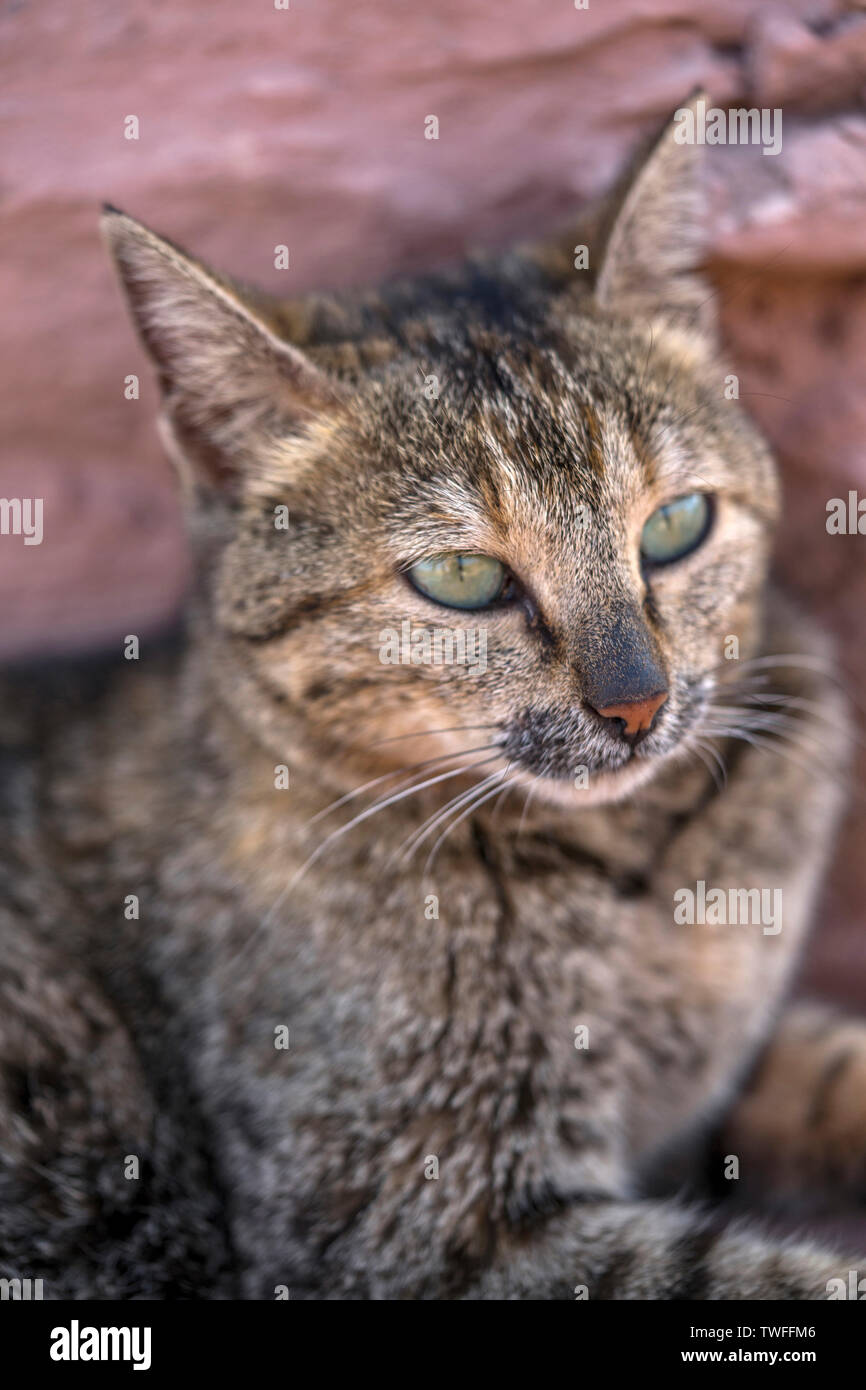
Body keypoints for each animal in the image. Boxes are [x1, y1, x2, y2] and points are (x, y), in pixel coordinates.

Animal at [1, 100, 866, 1301]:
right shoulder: (429, 1229)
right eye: (461, 578)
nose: (636, 707)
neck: (640, 873)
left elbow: (830, 1069)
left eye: (675, 525)